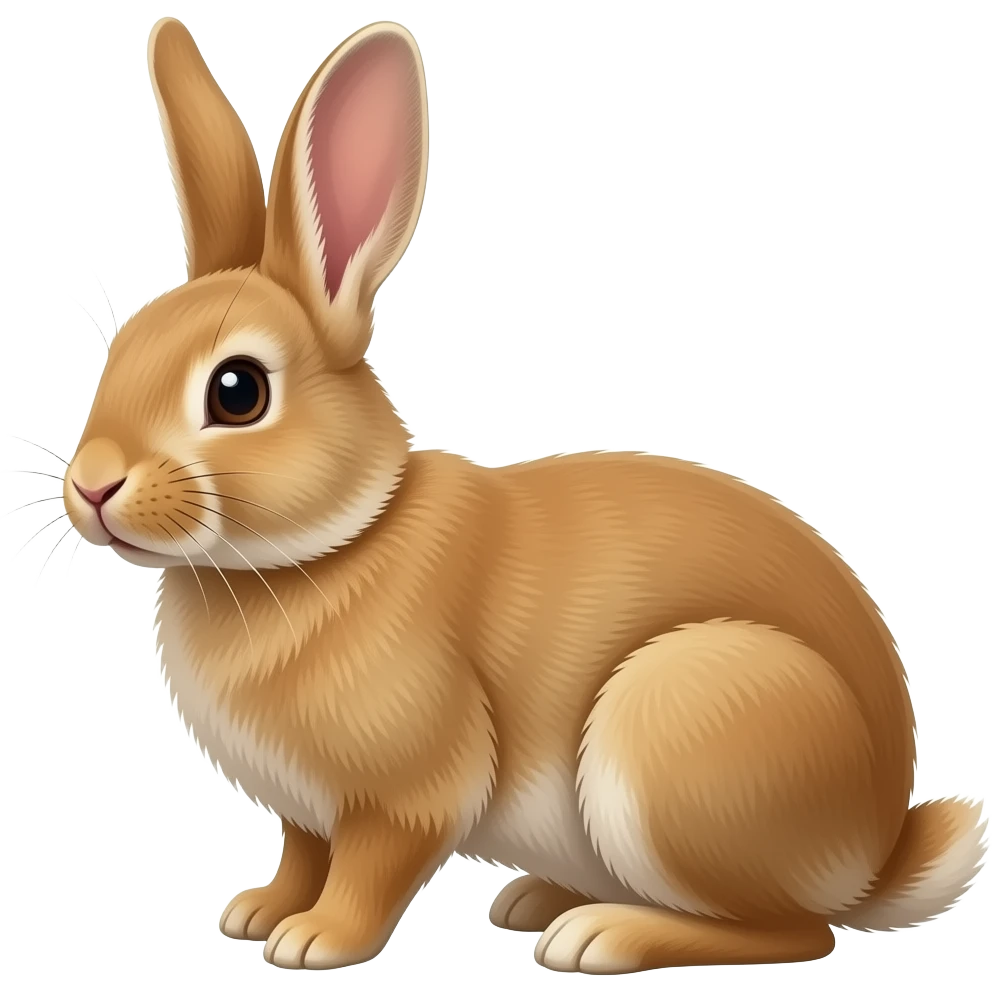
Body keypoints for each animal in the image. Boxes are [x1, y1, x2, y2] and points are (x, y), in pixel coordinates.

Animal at [59, 16, 988, 975]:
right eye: (117, 350)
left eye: (237, 391)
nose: (91, 484)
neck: (333, 545)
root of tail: (876, 852)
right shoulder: (304, 811)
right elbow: (302, 853)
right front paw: (256, 912)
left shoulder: (408, 790)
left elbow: (370, 867)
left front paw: (316, 941)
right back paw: (539, 900)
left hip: (677, 731)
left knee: (795, 931)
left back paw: (601, 934)